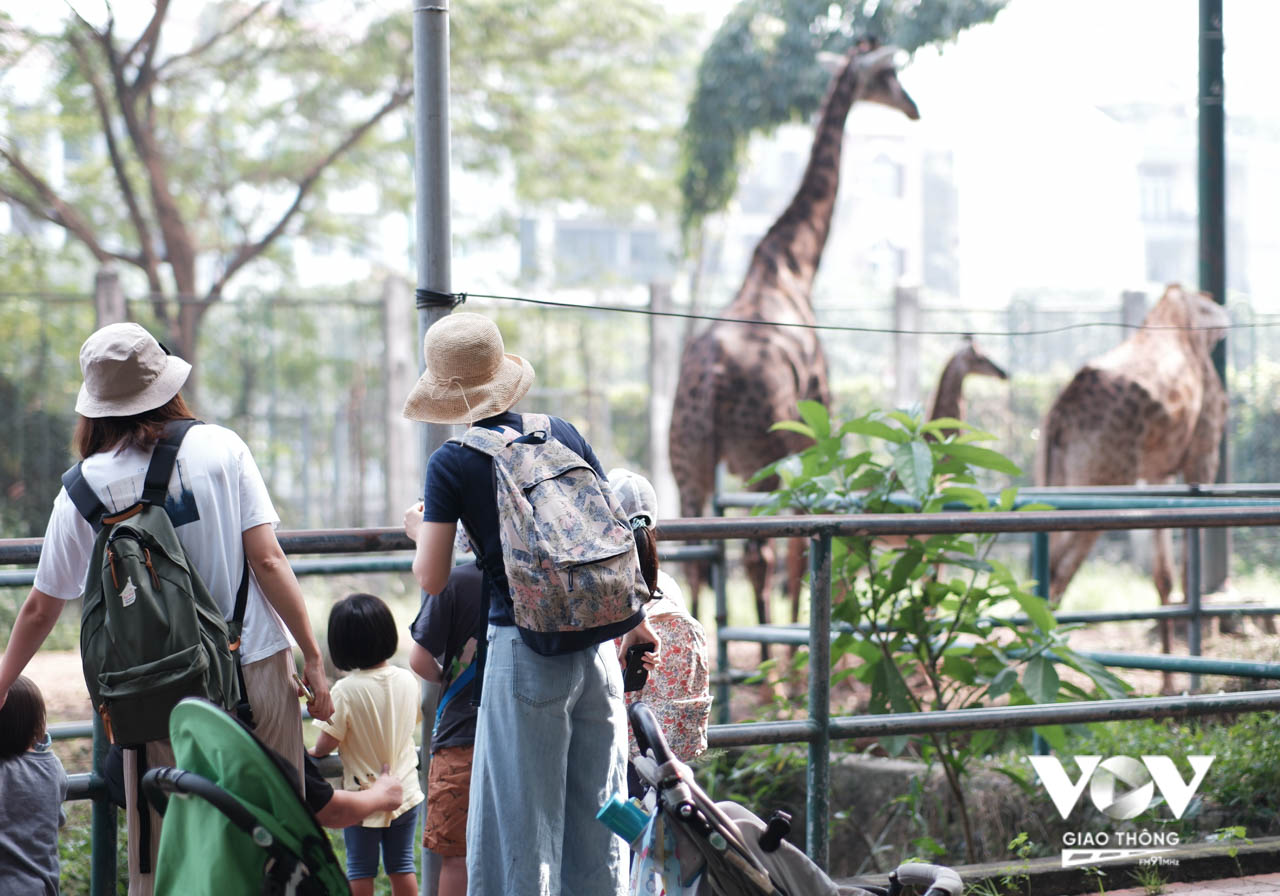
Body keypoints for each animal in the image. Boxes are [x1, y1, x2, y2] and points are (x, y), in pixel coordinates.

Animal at [670, 38, 921, 627]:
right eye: (890, 74)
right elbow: (799, 544)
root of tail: (711, 381)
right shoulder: (818, 419)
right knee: (758, 554)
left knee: (694, 557)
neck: (794, 264)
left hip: (687, 458)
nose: (914, 107)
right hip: (760, 455)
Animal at [1034, 282, 1223, 691]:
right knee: (1060, 568)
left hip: (1055, 479)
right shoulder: (1203, 455)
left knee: (1048, 566)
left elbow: (1163, 574)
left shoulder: (1158, 473)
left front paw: (1169, 682)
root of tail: (1059, 416)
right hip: (1101, 482)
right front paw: (1190, 679)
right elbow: (1188, 573)